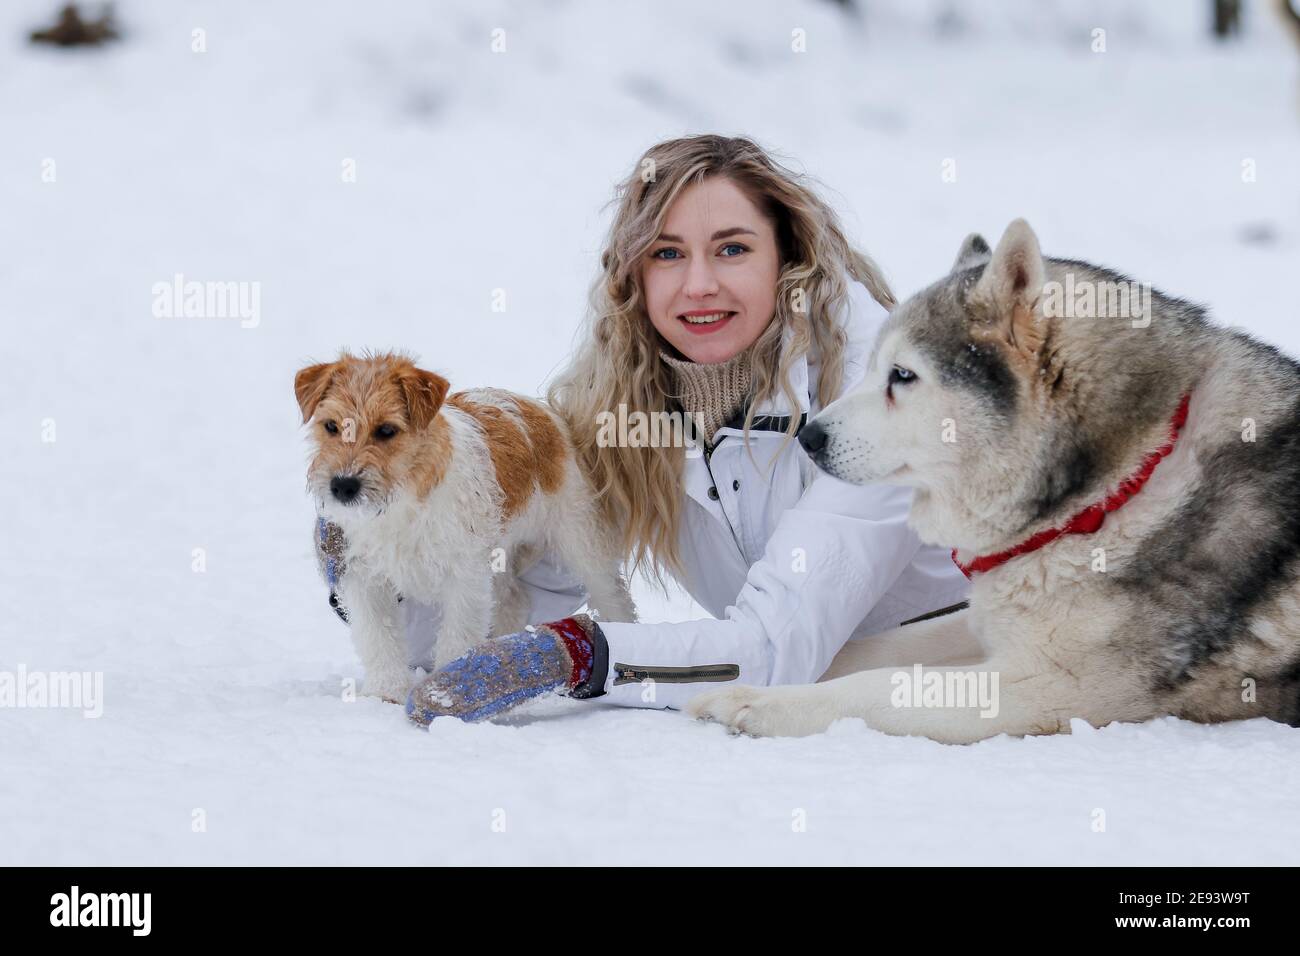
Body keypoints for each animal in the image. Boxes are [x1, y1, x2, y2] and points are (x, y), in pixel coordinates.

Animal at [296, 351, 639, 702]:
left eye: (387, 430)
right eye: (331, 426)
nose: (343, 486)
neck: (400, 503)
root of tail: (548, 412)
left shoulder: (463, 579)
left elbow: (456, 637)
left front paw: (447, 687)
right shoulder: (364, 579)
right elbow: (379, 638)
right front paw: (385, 693)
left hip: (582, 543)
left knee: (614, 598)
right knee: (514, 601)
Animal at [691, 221, 1300, 743]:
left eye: (902, 375)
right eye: (871, 368)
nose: (810, 438)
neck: (1117, 486)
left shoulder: (1052, 686)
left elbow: (877, 686)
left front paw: (755, 702)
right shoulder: (989, 623)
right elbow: (872, 647)